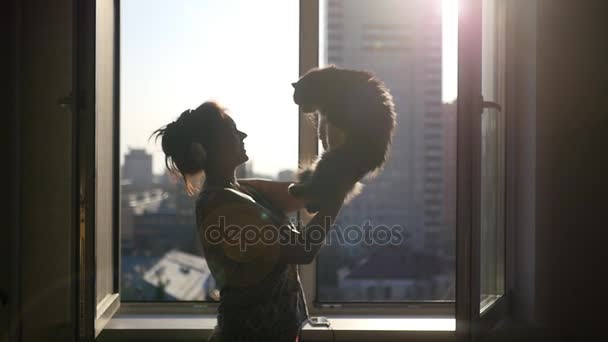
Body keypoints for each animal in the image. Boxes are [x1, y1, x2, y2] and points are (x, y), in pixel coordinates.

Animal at [290, 65, 400, 212]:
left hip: (331, 160)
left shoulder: (338, 114)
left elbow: (327, 120)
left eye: (299, 99)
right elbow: (322, 126)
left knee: (319, 186)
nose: (302, 110)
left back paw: (299, 191)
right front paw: (322, 136)